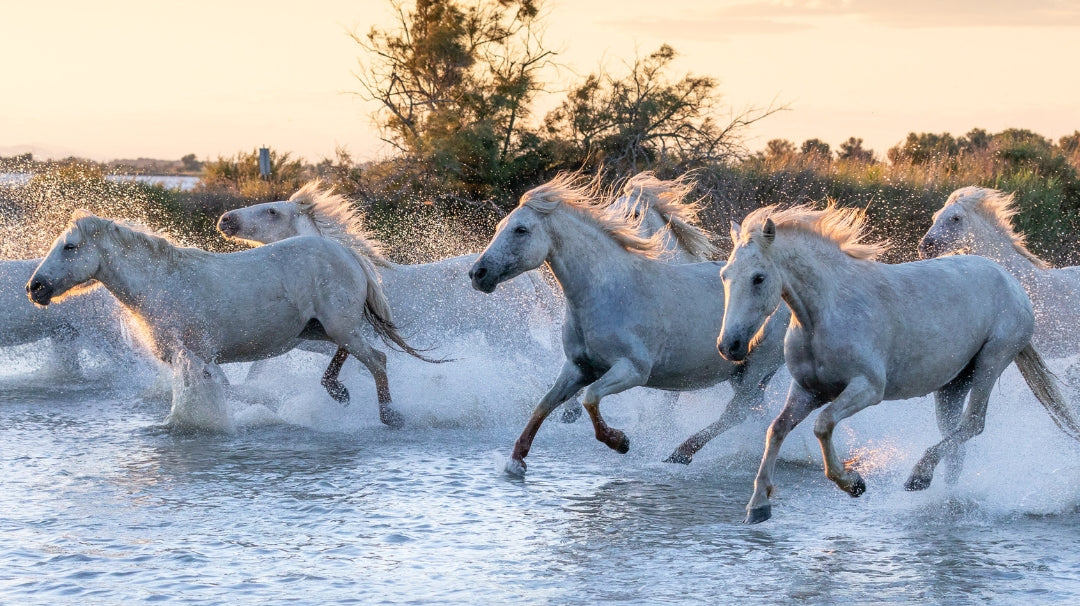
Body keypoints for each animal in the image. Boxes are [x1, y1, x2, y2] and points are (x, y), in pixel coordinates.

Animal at [27, 211, 433, 428]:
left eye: (70, 247)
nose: (35, 288)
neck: (163, 283)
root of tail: (347, 255)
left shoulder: (196, 358)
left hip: (338, 327)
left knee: (377, 360)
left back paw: (390, 416)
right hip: (320, 331)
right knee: (356, 355)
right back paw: (338, 392)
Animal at [217, 181, 560, 403]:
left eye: (272, 212)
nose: (225, 220)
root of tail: (527, 278)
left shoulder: (332, 335)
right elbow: (259, 366)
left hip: (509, 336)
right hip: (502, 338)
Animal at [468, 172, 788, 475]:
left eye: (521, 229)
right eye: (500, 226)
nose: (477, 273)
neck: (606, 293)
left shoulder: (633, 370)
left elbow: (590, 398)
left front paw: (620, 442)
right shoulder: (578, 368)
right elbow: (544, 405)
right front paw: (516, 461)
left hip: (758, 367)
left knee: (737, 412)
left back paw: (681, 453)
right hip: (740, 372)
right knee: (753, 412)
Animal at [716, 204, 1080, 524]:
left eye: (758, 278)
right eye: (725, 275)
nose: (729, 346)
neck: (826, 314)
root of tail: (1013, 282)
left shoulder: (867, 389)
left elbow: (823, 425)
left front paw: (853, 483)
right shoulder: (807, 390)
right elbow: (776, 429)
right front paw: (757, 507)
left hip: (992, 361)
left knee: (973, 424)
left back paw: (918, 477)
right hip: (953, 383)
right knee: (956, 443)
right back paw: (945, 498)